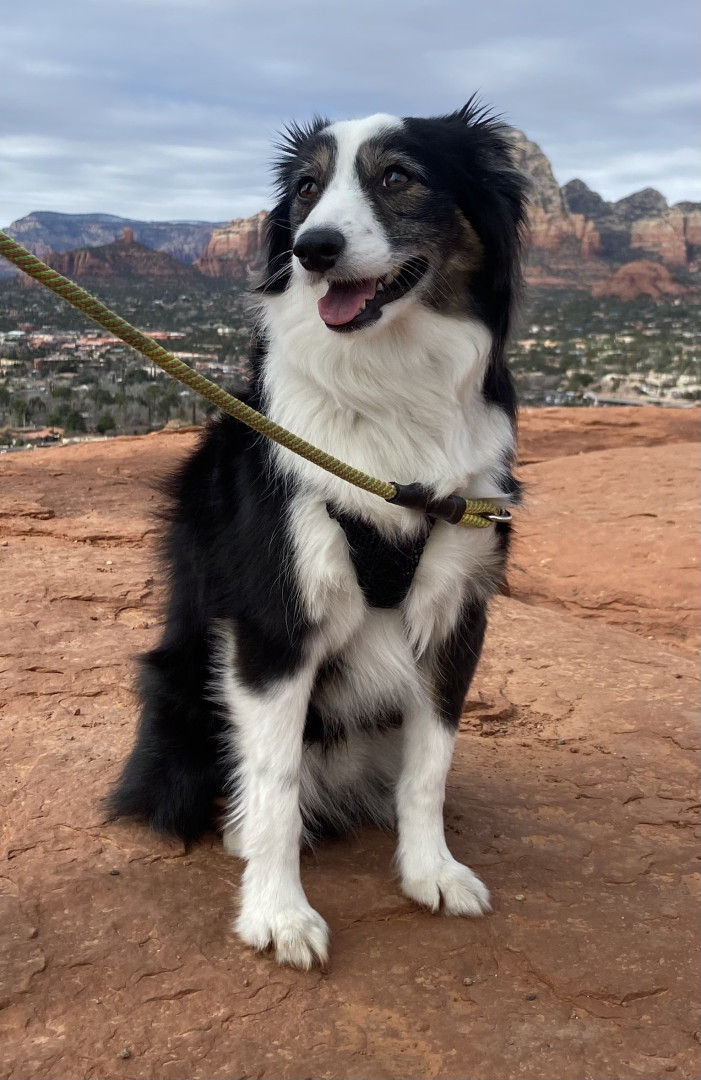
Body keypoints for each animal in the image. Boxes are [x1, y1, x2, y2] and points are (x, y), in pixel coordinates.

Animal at [108, 100, 528, 969]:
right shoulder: (274, 625)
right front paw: (278, 914)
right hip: (182, 690)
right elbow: (273, 781)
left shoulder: (459, 614)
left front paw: (430, 870)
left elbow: (430, 766)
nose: (312, 249)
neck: (388, 385)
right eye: (305, 189)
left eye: (398, 176)